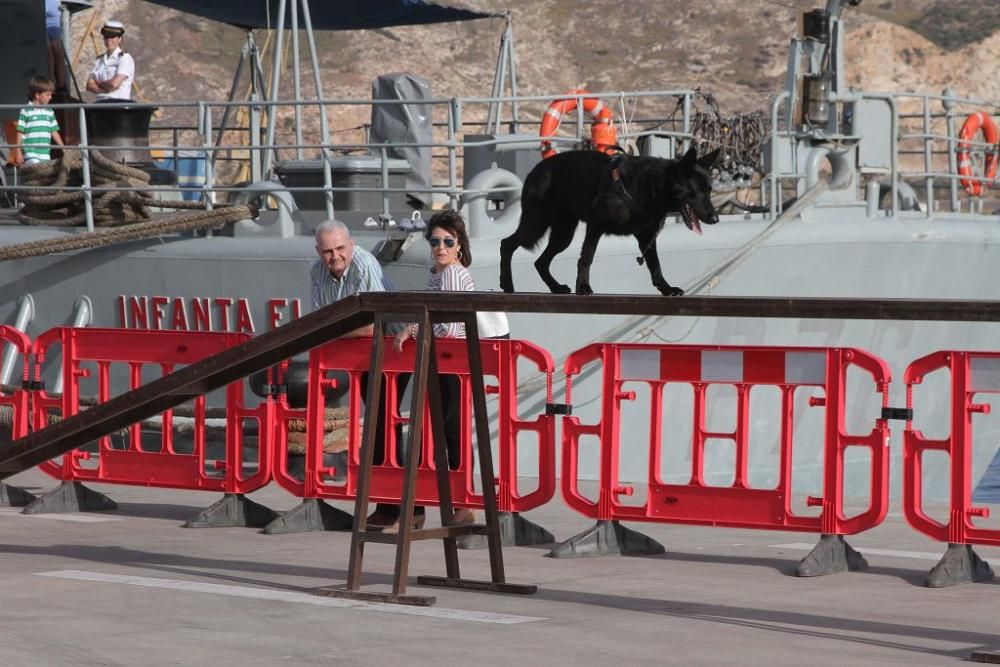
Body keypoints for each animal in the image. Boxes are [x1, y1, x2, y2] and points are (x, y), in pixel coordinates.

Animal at [498, 147, 720, 296]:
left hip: (563, 234)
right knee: (506, 244)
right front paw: (583, 287)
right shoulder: (595, 226)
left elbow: (655, 265)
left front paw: (666, 288)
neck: (651, 188)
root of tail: (535, 169)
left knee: (540, 262)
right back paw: (507, 284)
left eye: (709, 191)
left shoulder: (647, 238)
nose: (716, 218)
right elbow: (586, 258)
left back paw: (556, 287)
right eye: (697, 192)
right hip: (536, 225)